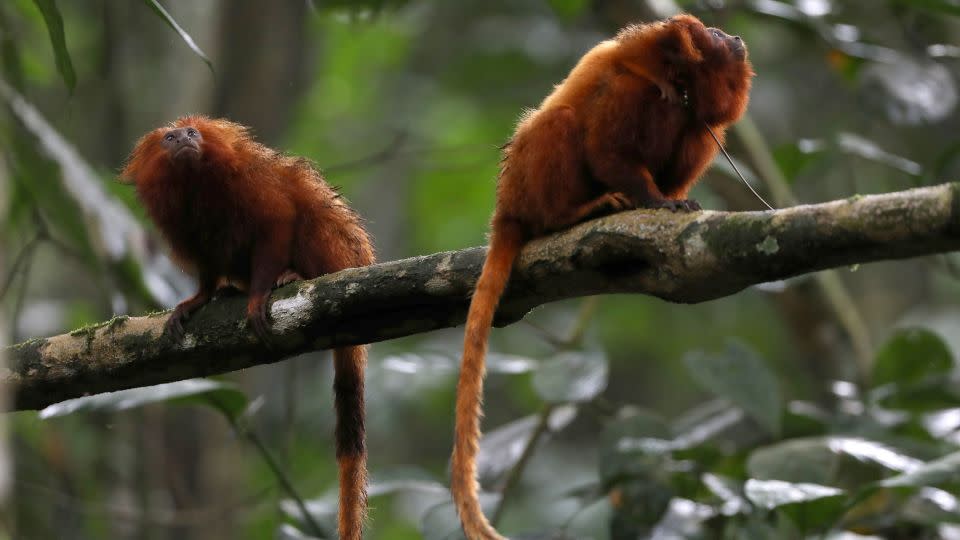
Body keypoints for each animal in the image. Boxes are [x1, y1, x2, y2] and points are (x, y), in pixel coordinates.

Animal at [120, 117, 376, 540]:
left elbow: (278, 221)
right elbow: (206, 263)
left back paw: (296, 275)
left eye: (192, 132)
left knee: (312, 214)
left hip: (337, 252)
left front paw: (257, 295)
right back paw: (229, 289)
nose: (184, 139)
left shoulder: (254, 185)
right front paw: (201, 297)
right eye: (170, 138)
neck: (197, 184)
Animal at [450, 14, 752, 536]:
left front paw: (667, 197)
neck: (679, 88)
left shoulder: (696, 124)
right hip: (529, 182)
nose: (733, 37)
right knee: (561, 123)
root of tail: (507, 206)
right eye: (713, 36)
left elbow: (683, 148)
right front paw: (654, 200)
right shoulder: (629, 89)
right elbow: (606, 149)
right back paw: (571, 214)